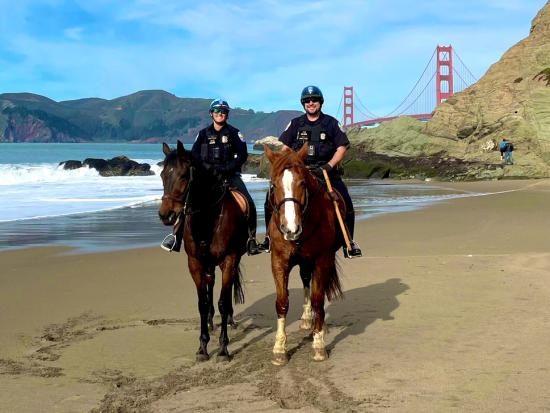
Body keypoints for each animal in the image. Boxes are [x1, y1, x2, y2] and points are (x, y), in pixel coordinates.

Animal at [158, 141, 247, 360]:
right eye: (162, 174)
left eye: (183, 176)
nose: (166, 215)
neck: (207, 219)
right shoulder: (195, 263)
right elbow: (202, 303)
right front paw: (203, 346)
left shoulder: (229, 260)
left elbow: (223, 301)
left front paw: (223, 348)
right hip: (208, 264)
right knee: (211, 285)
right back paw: (210, 321)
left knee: (227, 291)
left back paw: (229, 319)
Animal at [264, 142, 344, 364]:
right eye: (273, 185)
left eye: (302, 183)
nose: (290, 229)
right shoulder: (279, 261)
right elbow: (282, 302)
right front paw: (279, 349)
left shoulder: (321, 260)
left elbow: (318, 299)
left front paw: (318, 345)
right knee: (306, 279)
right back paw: (308, 318)